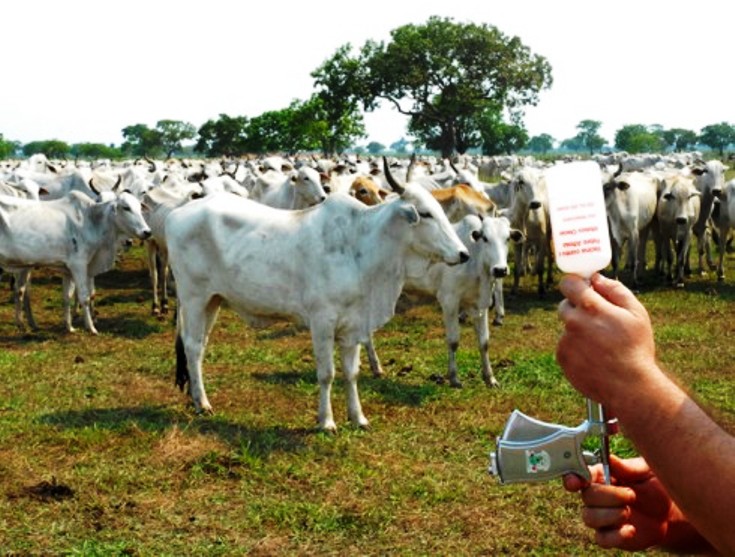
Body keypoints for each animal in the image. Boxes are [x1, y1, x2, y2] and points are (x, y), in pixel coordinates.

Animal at [0, 191, 152, 332]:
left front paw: (69, 327)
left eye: (140, 207)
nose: (147, 232)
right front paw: (91, 328)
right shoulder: (79, 265)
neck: (91, 220)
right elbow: (84, 296)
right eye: (126, 208)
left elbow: (67, 296)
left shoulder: (67, 270)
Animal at [167, 165, 468, 430]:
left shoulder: (354, 324)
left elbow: (351, 373)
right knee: (192, 346)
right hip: (194, 298)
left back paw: (196, 397)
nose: (463, 253)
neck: (361, 244)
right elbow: (327, 374)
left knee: (200, 347)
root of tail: (177, 214)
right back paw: (202, 403)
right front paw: (326, 421)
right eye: (425, 214)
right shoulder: (322, 321)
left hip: (213, 301)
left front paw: (358, 418)